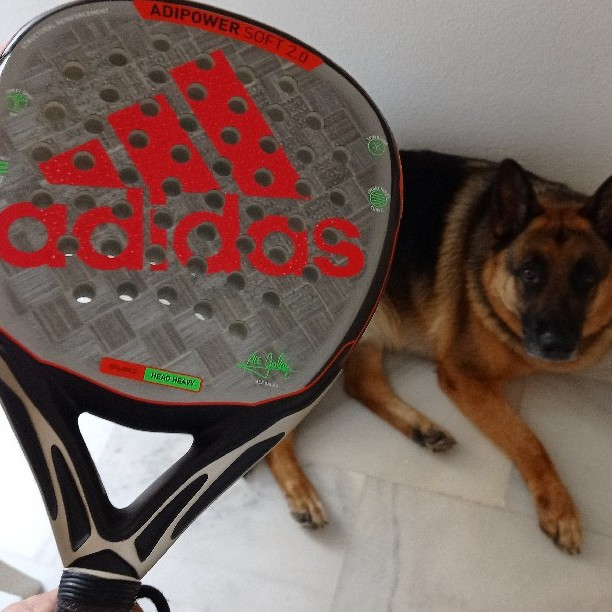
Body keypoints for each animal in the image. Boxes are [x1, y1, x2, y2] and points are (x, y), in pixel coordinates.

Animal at [266, 150, 612, 553]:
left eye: (586, 279)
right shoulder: (463, 374)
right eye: (529, 274)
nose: (556, 344)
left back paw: (421, 428)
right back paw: (302, 493)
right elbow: (529, 441)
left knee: (360, 384)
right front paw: (560, 507)